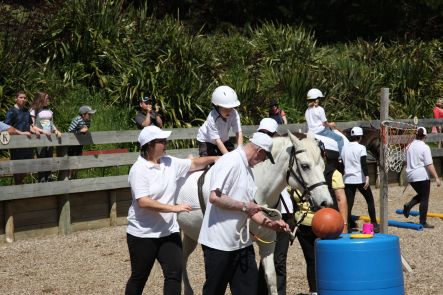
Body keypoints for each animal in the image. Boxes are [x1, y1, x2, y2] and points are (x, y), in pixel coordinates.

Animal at [176, 132, 332, 295]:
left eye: (322, 166)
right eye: (305, 166)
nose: (325, 202)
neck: (260, 192)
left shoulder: (268, 239)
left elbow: (270, 277)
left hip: (190, 233)